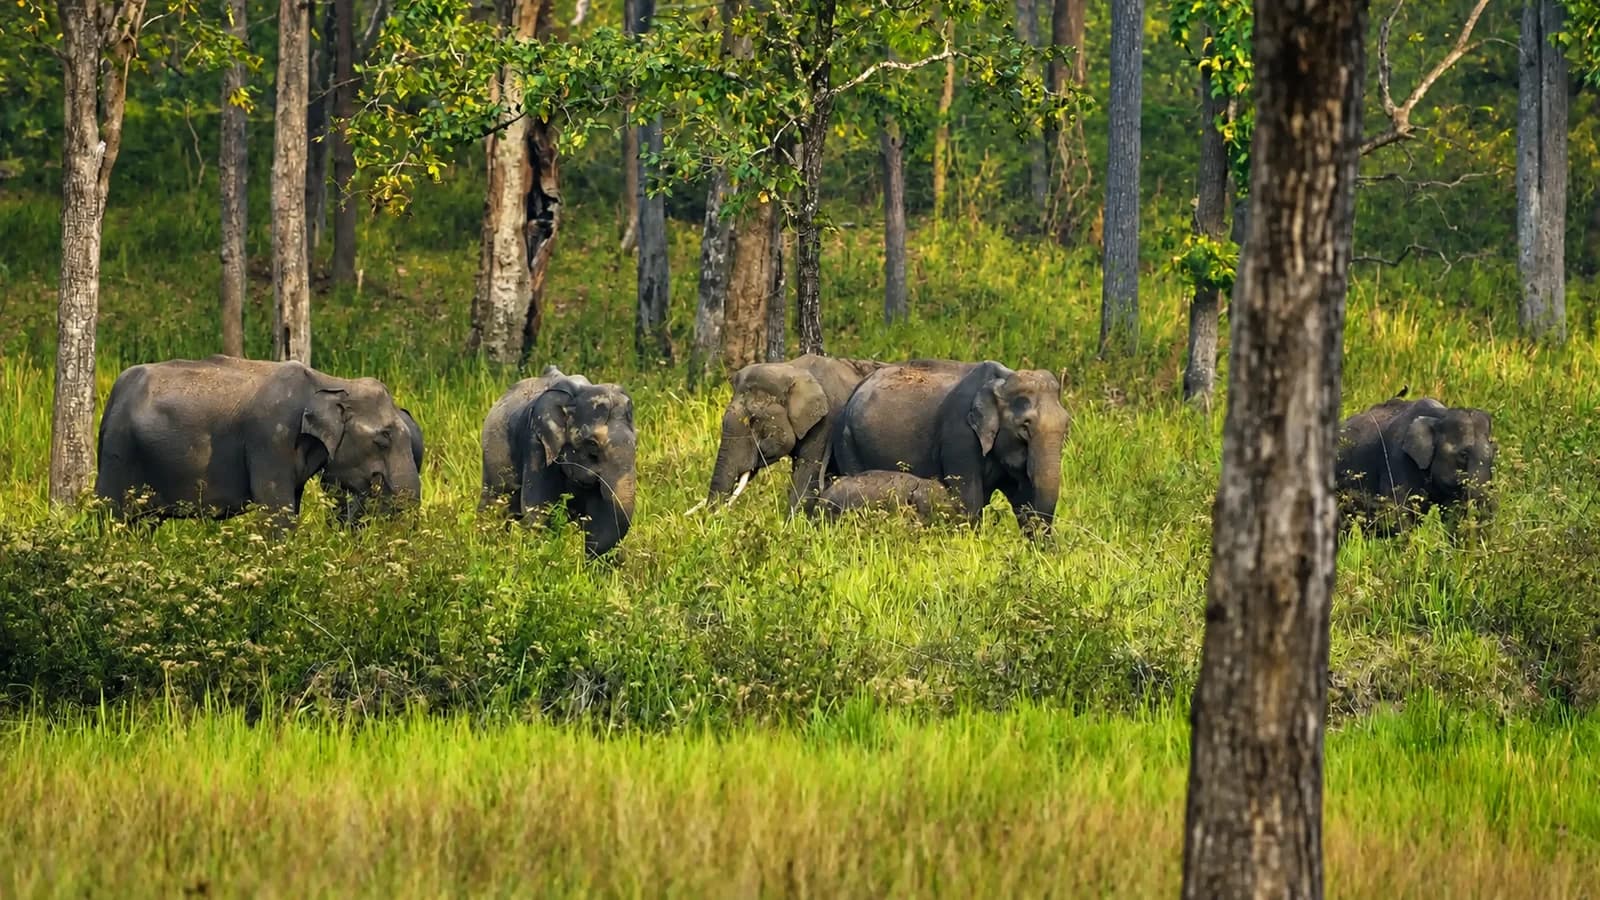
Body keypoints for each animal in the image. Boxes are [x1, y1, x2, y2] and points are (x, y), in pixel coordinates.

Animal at [94, 355, 423, 528]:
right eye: (383, 438)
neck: (331, 381)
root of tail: (114, 393)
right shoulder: (270, 439)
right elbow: (276, 508)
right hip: (118, 454)